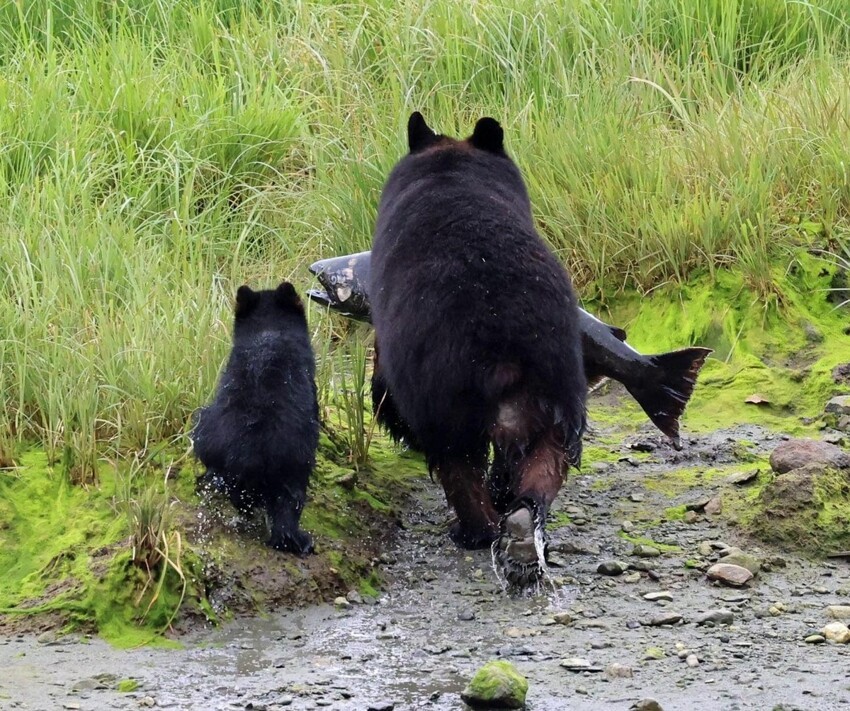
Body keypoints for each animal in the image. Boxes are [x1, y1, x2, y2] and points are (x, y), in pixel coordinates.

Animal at [368, 112, 588, 584]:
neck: (451, 175)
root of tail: (500, 336)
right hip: (558, 372)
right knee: (548, 454)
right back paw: (523, 527)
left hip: (442, 383)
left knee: (456, 459)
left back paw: (474, 529)